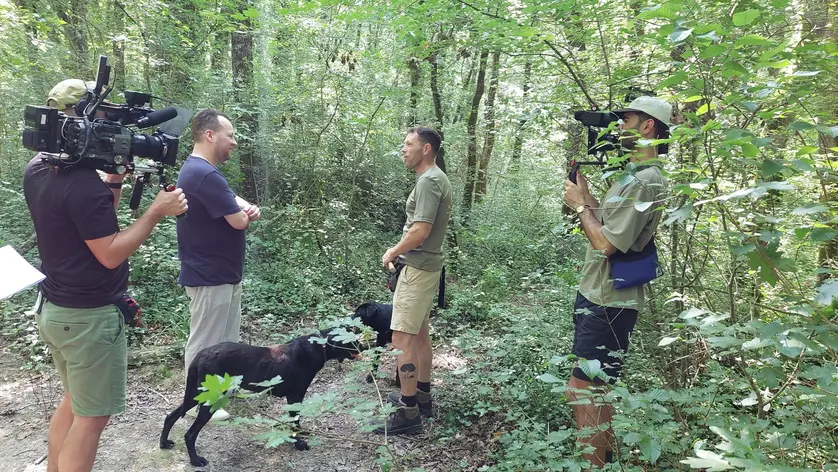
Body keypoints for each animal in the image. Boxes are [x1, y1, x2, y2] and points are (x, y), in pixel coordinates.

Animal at [159, 330, 360, 467]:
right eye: (349, 339)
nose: (364, 346)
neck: (318, 346)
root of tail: (200, 355)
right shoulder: (295, 396)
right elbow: (294, 421)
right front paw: (299, 443)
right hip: (209, 400)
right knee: (190, 434)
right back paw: (196, 460)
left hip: (197, 394)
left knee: (170, 416)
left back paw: (164, 443)